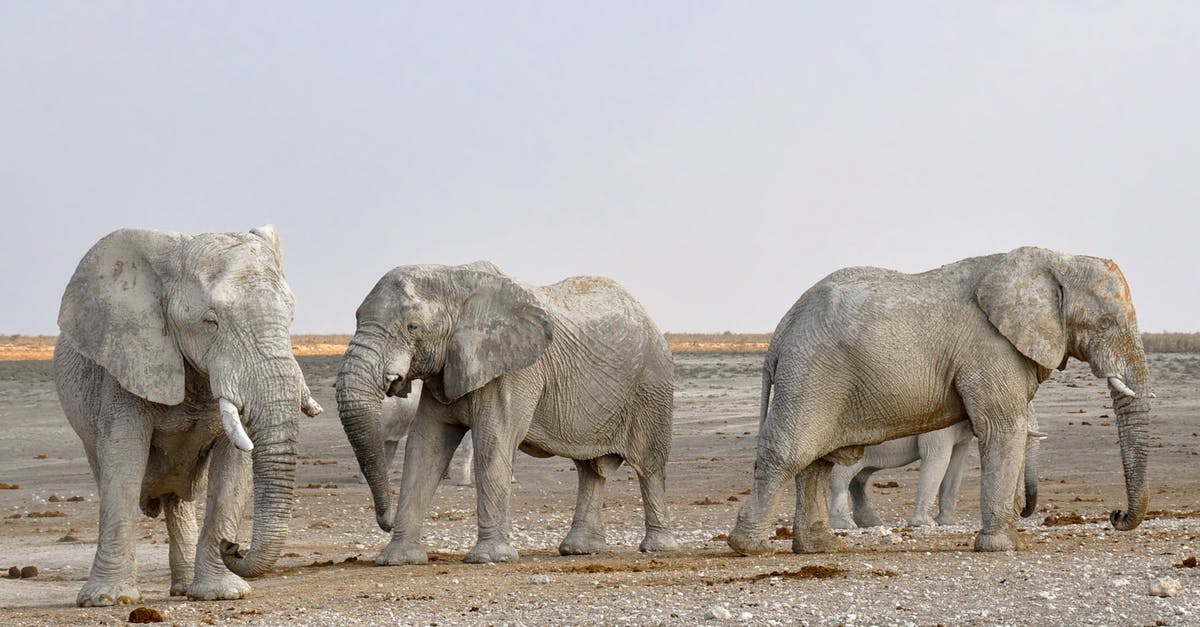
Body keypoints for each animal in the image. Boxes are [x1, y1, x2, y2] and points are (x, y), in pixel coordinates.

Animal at [54, 227, 321, 602]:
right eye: (211, 322)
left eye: (291, 318)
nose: (234, 546)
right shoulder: (127, 361)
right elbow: (123, 463)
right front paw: (107, 599)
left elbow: (232, 472)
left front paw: (223, 593)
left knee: (177, 500)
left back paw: (184, 589)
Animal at [333, 260, 681, 564]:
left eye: (412, 327)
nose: (386, 521)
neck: (454, 278)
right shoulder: (446, 369)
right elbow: (425, 446)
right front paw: (396, 559)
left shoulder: (514, 370)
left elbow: (493, 440)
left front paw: (489, 558)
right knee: (590, 470)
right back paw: (580, 550)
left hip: (653, 383)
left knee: (649, 465)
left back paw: (656, 548)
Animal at [830, 415, 1046, 526]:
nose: (1023, 511)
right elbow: (937, 457)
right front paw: (924, 524)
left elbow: (956, 463)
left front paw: (947, 523)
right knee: (841, 477)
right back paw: (844, 525)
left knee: (858, 479)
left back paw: (871, 523)